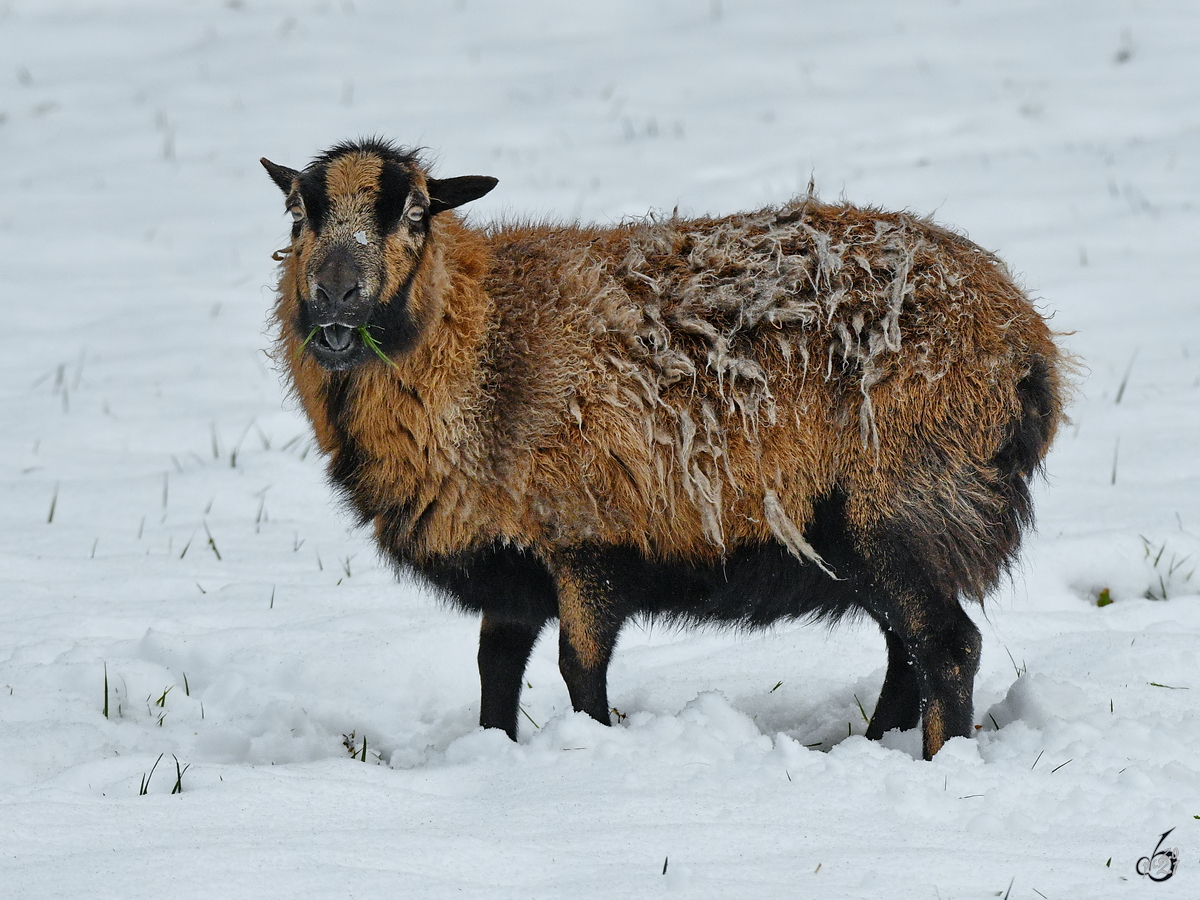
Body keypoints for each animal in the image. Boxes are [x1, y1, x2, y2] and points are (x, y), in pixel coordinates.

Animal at [258, 139, 1065, 763]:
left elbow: (578, 669)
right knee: (908, 650)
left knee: (948, 647)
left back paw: (937, 764)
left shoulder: (587, 537)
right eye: (298, 213)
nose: (335, 298)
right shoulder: (511, 566)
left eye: (417, 214)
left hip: (900, 500)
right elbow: (496, 672)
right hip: (865, 532)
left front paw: (593, 749)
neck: (489, 347)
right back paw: (868, 748)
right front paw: (496, 754)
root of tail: (1030, 348)